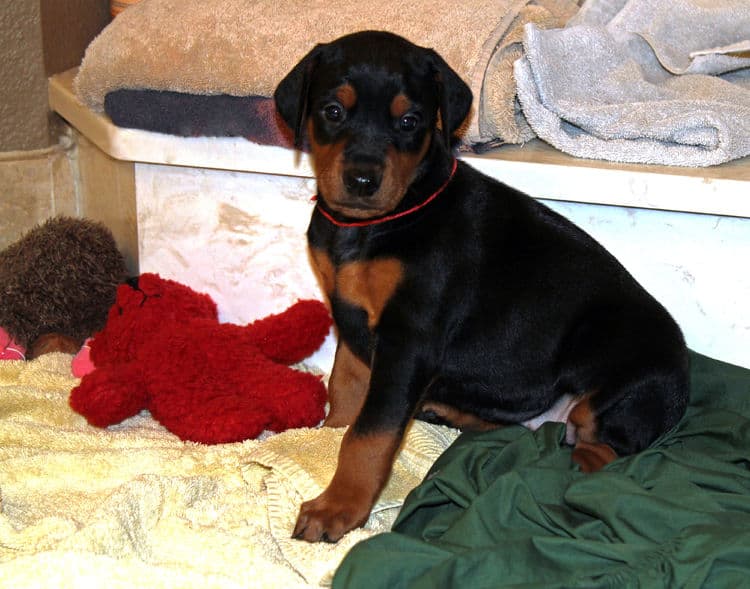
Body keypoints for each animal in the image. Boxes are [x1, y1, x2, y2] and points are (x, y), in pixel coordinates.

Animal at [274, 28, 692, 544]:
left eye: (410, 121)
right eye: (333, 111)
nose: (363, 180)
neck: (376, 224)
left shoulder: (408, 340)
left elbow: (370, 434)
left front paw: (338, 507)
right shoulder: (350, 315)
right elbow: (347, 386)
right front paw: (328, 431)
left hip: (620, 382)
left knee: (601, 450)